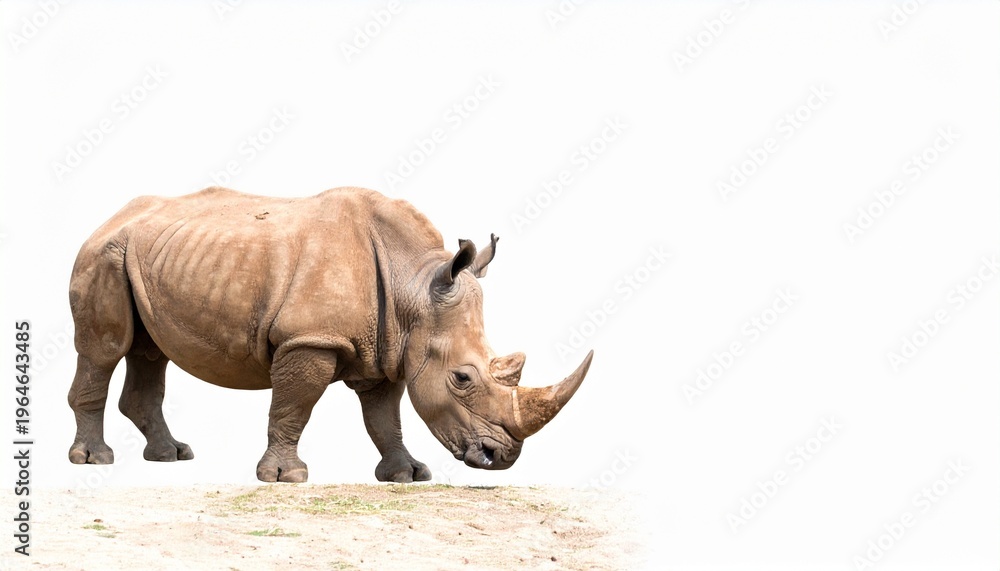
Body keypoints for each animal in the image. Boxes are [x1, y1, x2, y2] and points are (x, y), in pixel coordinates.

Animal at [67, 186, 593, 483]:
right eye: (462, 379)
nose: (502, 457)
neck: (414, 288)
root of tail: (108, 219)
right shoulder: (311, 339)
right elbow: (294, 405)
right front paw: (286, 477)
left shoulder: (389, 348)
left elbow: (384, 417)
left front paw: (407, 475)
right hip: (103, 255)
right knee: (105, 349)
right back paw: (94, 461)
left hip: (145, 255)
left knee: (149, 352)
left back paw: (171, 457)